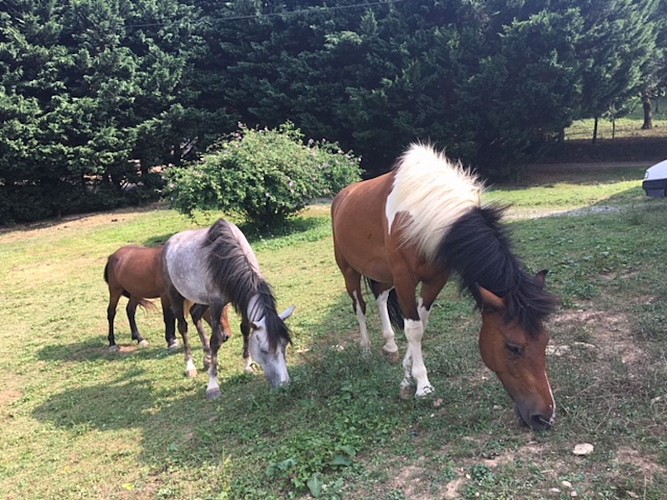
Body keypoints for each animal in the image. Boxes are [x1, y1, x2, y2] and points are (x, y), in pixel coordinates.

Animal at [104, 246, 237, 372]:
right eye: (211, 309)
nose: (226, 335)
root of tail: (113, 256)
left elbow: (173, 316)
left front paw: (173, 339)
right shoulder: (166, 295)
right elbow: (168, 317)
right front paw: (171, 341)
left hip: (135, 293)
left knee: (130, 311)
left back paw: (139, 338)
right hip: (115, 290)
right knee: (111, 313)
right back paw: (112, 344)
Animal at [163, 219, 294, 398]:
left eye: (284, 345)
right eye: (264, 350)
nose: (284, 384)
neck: (226, 258)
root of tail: (170, 241)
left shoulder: (240, 299)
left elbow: (245, 328)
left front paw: (247, 365)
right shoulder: (216, 304)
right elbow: (216, 340)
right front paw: (213, 385)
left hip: (202, 299)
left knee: (195, 315)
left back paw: (207, 358)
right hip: (175, 294)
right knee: (183, 326)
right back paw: (190, 367)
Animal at [332, 144, 560, 430]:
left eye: (545, 341)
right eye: (513, 347)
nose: (545, 417)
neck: (424, 211)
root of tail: (341, 196)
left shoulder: (435, 279)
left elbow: (420, 325)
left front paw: (406, 376)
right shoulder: (405, 278)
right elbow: (413, 328)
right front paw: (422, 386)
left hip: (382, 273)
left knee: (381, 298)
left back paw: (390, 346)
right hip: (349, 269)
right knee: (359, 306)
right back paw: (365, 348)